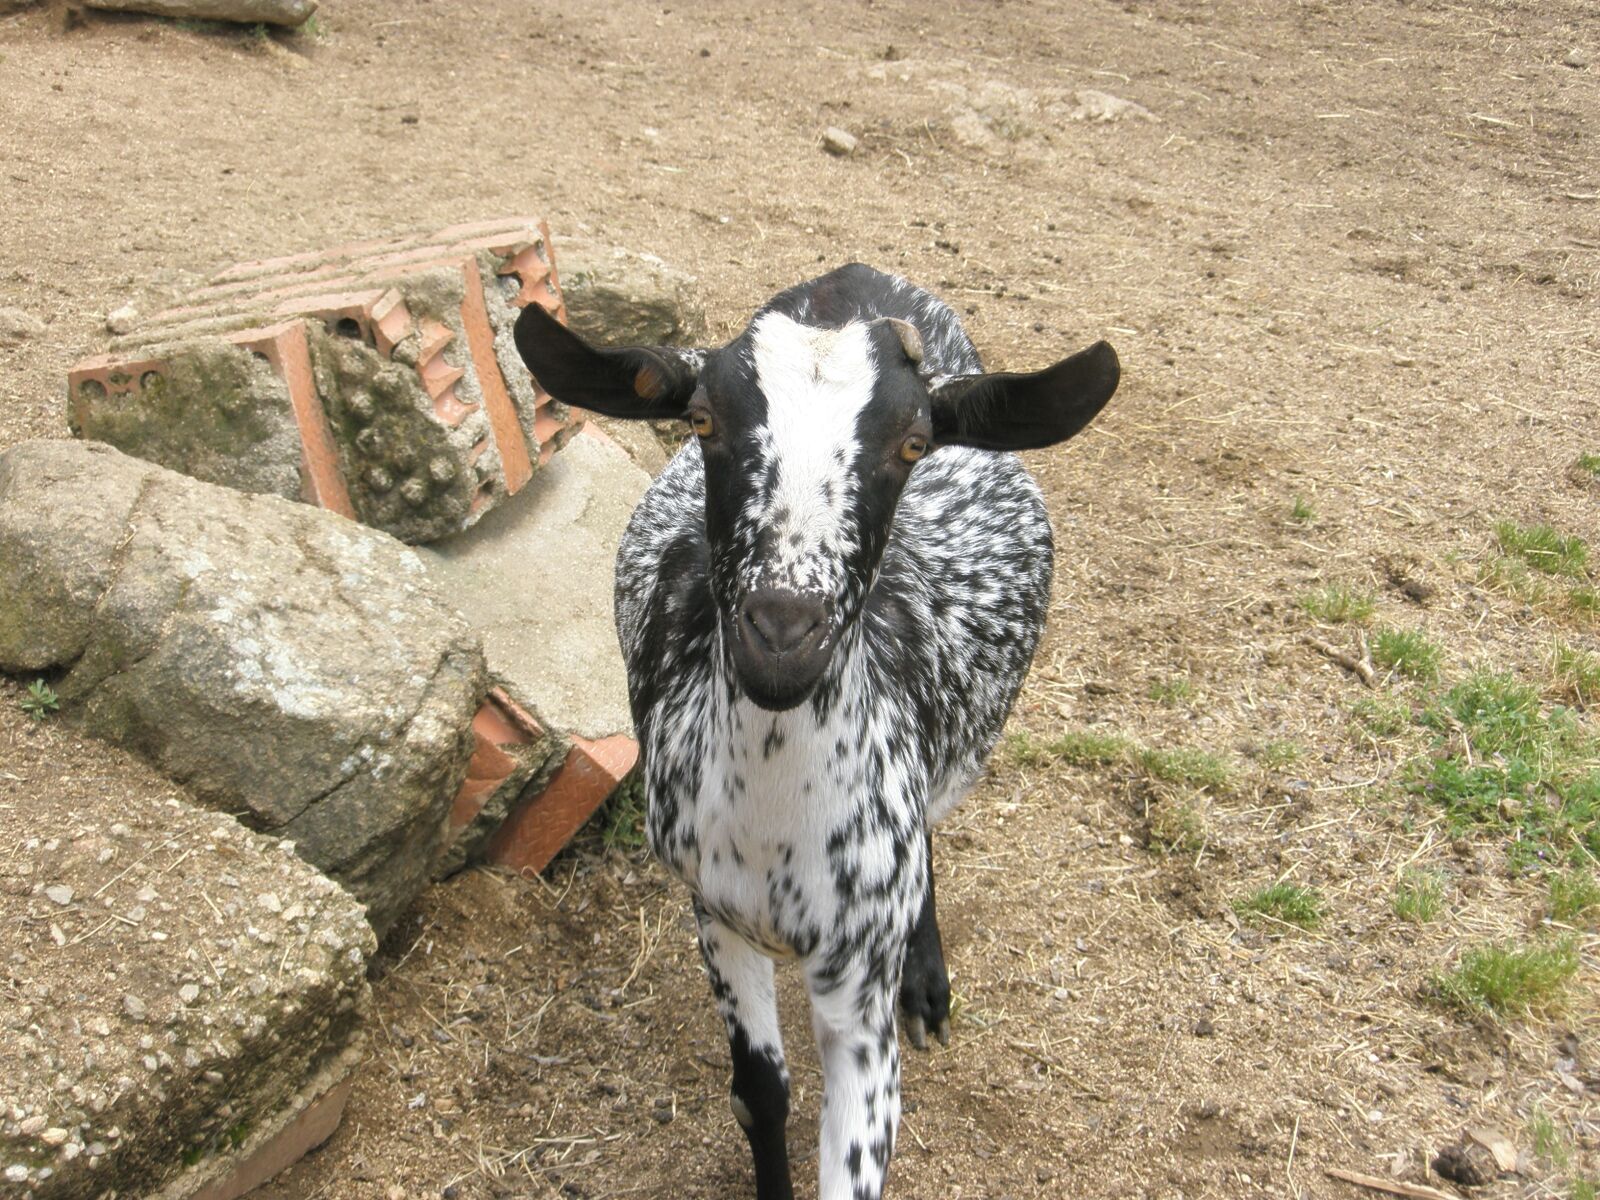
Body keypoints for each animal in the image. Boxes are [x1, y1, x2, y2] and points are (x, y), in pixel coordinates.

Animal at [514, 264, 1118, 1200]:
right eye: (702, 421)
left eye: (914, 442)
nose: (781, 632)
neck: (776, 833)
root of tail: (856, 278)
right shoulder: (716, 915)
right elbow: (759, 1094)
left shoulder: (858, 985)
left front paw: (922, 987)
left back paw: (928, 986)